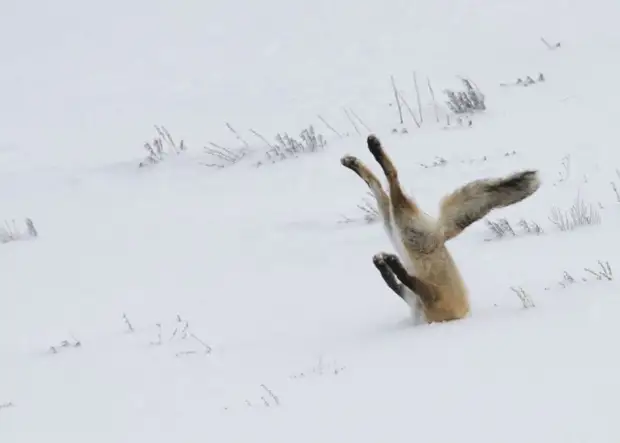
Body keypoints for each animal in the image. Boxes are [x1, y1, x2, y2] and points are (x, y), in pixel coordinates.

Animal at [342, 135, 540, 326]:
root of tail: (441, 234)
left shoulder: (429, 297)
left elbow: (402, 280)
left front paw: (389, 263)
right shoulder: (420, 296)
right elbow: (395, 281)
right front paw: (384, 264)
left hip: (401, 226)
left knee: (390, 181)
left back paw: (370, 151)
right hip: (395, 226)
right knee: (379, 185)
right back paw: (356, 160)